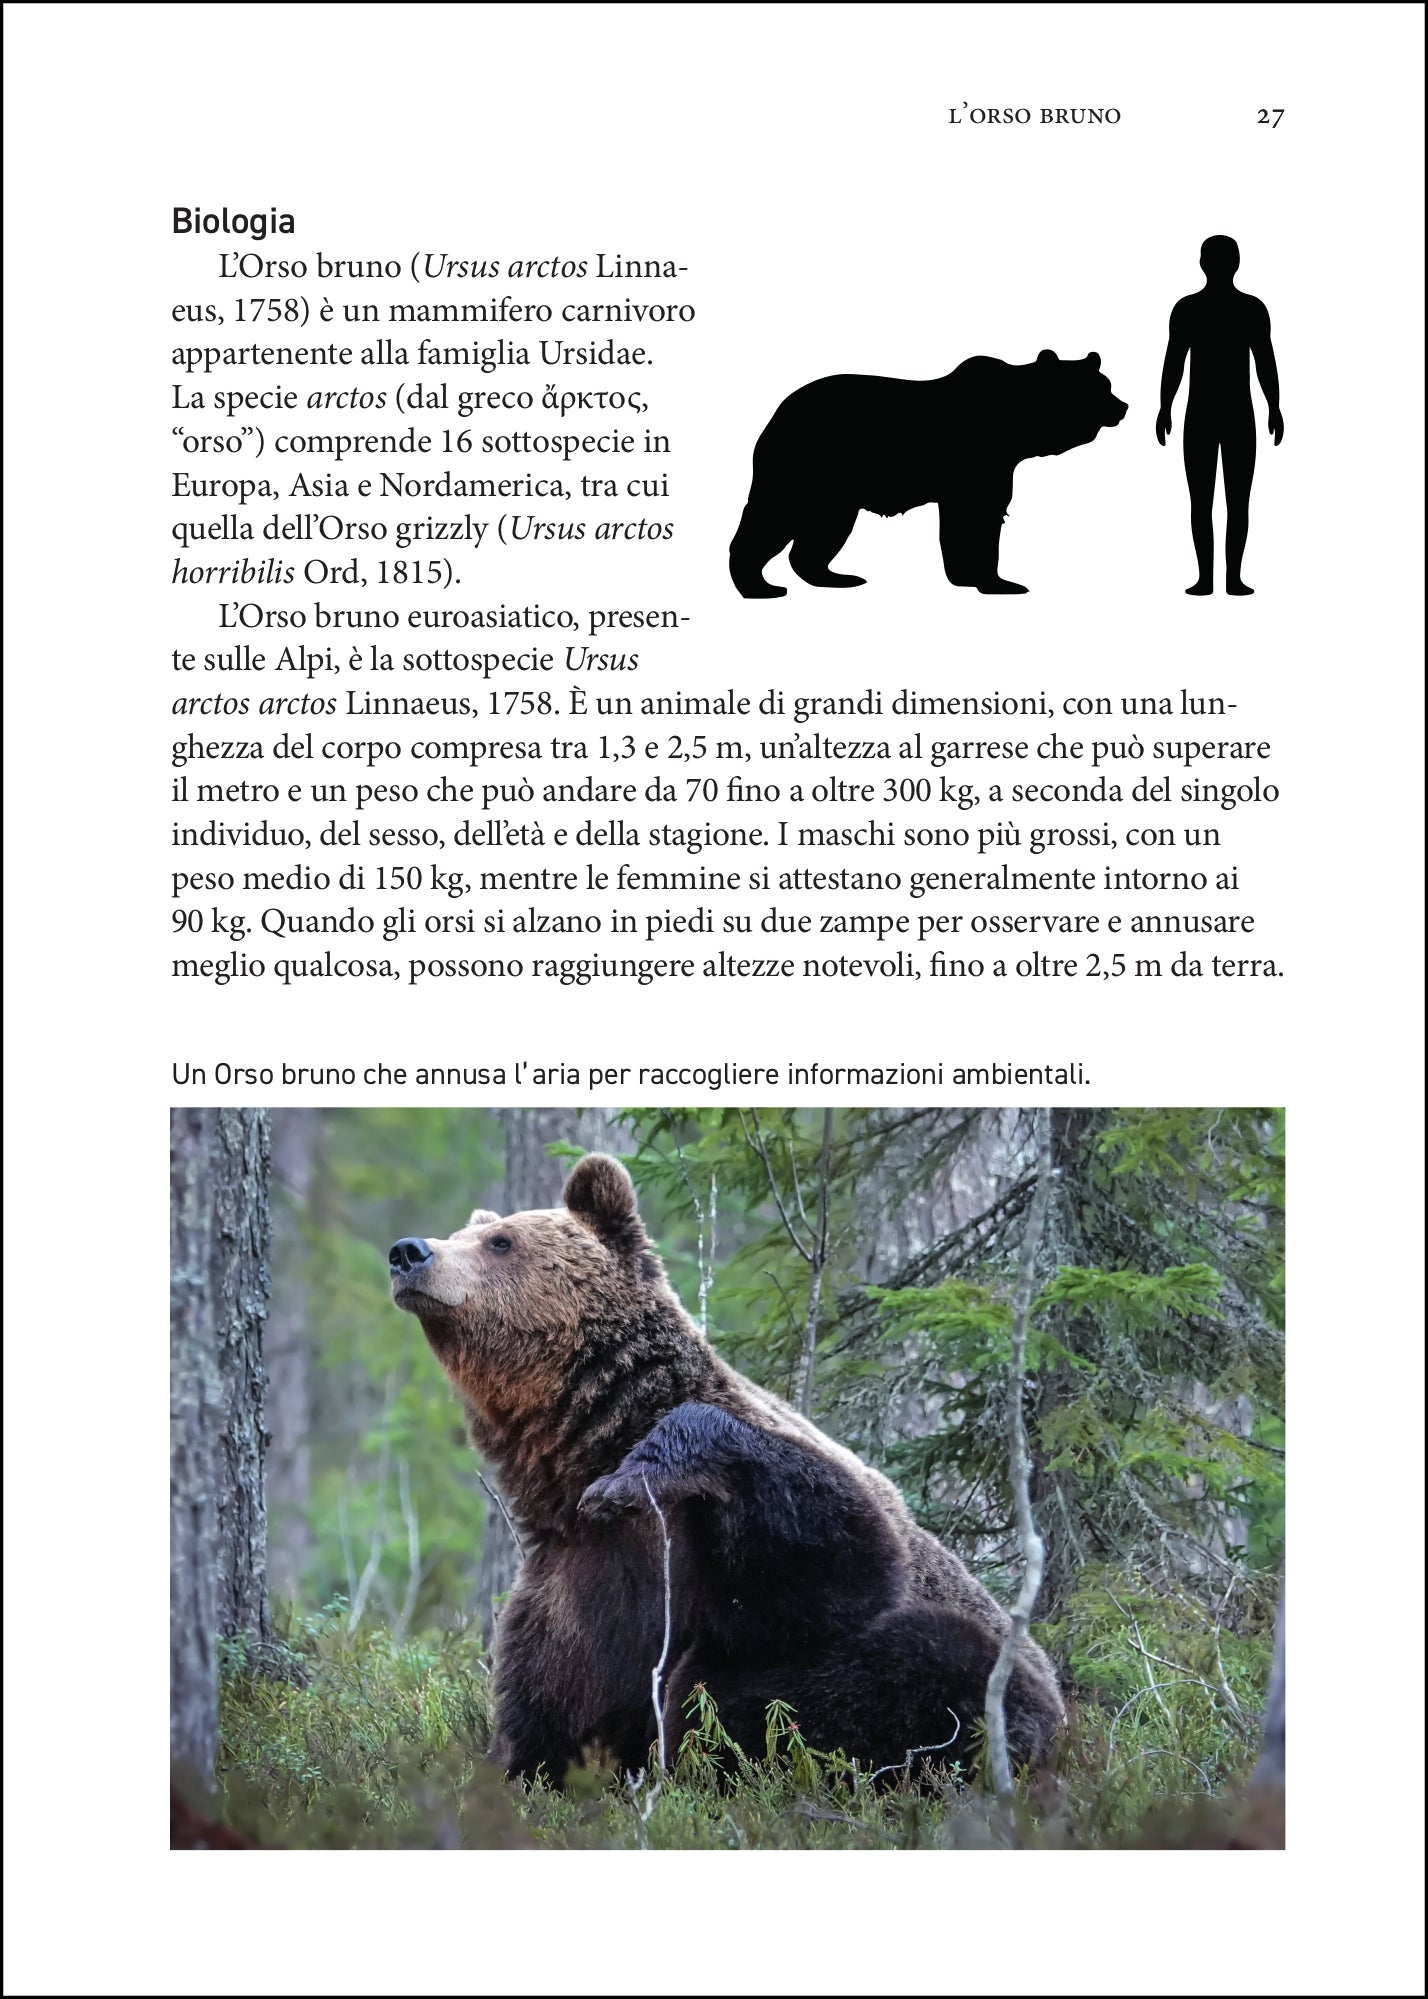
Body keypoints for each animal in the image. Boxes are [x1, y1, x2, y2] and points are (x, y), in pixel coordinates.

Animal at [390, 1152, 1064, 1785]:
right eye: (468, 1232)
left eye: (501, 1241)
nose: (408, 1251)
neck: (582, 1447)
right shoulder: (574, 1581)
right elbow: (547, 1709)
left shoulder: (731, 1525)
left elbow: (849, 1561)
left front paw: (638, 1472)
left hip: (1002, 1691)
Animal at [729, 350, 1128, 597]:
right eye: (1093, 389)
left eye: (1106, 384)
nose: (1122, 406)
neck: (1016, 429)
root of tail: (778, 410)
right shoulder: (977, 463)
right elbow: (979, 516)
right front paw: (1000, 582)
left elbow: (965, 522)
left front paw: (966, 576)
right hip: (802, 465)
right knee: (773, 514)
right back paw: (759, 587)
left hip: (836, 491)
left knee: (825, 528)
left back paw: (837, 577)